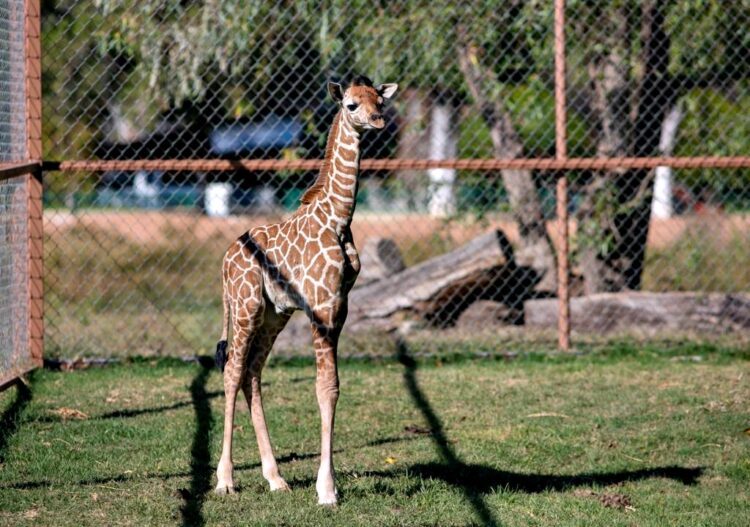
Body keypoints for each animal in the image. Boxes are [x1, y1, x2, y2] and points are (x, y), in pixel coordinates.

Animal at [213, 76, 398, 505]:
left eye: (380, 101)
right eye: (350, 105)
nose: (378, 121)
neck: (339, 219)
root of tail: (225, 261)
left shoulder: (340, 306)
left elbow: (333, 387)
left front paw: (324, 484)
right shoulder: (321, 304)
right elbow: (324, 388)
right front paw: (327, 489)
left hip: (273, 313)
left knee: (252, 374)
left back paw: (275, 478)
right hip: (245, 306)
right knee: (232, 372)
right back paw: (225, 479)